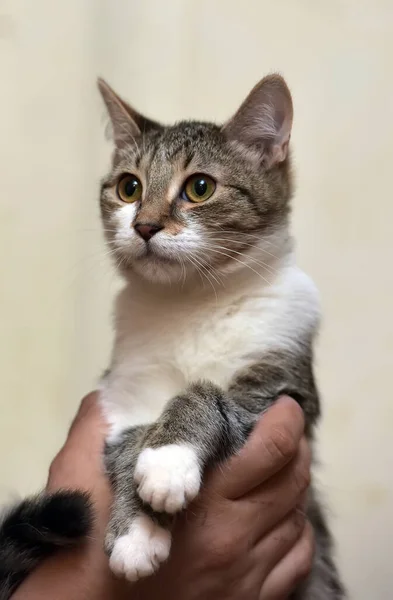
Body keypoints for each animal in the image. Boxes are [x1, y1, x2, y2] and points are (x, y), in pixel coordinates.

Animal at [0, 72, 344, 596]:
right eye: (128, 187)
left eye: (200, 187)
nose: (144, 226)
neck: (192, 303)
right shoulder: (126, 395)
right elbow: (129, 442)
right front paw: (137, 531)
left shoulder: (280, 390)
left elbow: (207, 395)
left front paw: (166, 460)